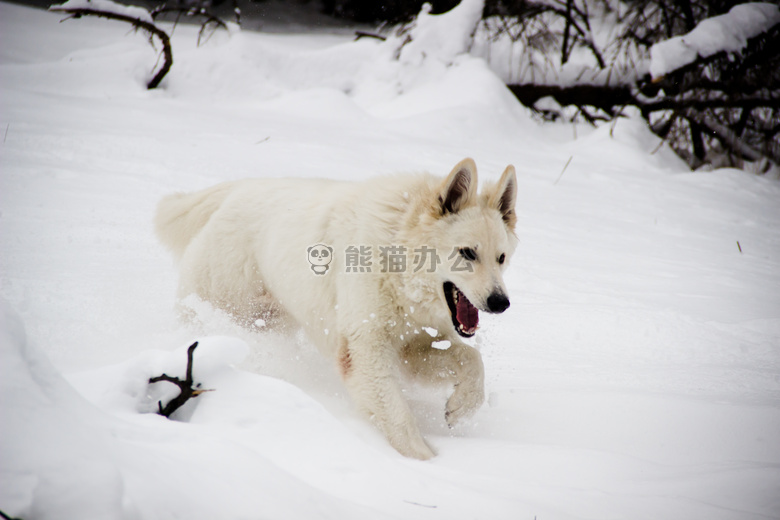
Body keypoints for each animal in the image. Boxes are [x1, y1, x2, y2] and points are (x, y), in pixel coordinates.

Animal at [155, 158, 516, 460]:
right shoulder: (365, 351)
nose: (501, 303)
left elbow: (472, 359)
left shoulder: (414, 347)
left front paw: (462, 407)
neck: (398, 256)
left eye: (501, 258)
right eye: (467, 253)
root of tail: (236, 190)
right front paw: (425, 464)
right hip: (223, 305)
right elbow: (398, 417)